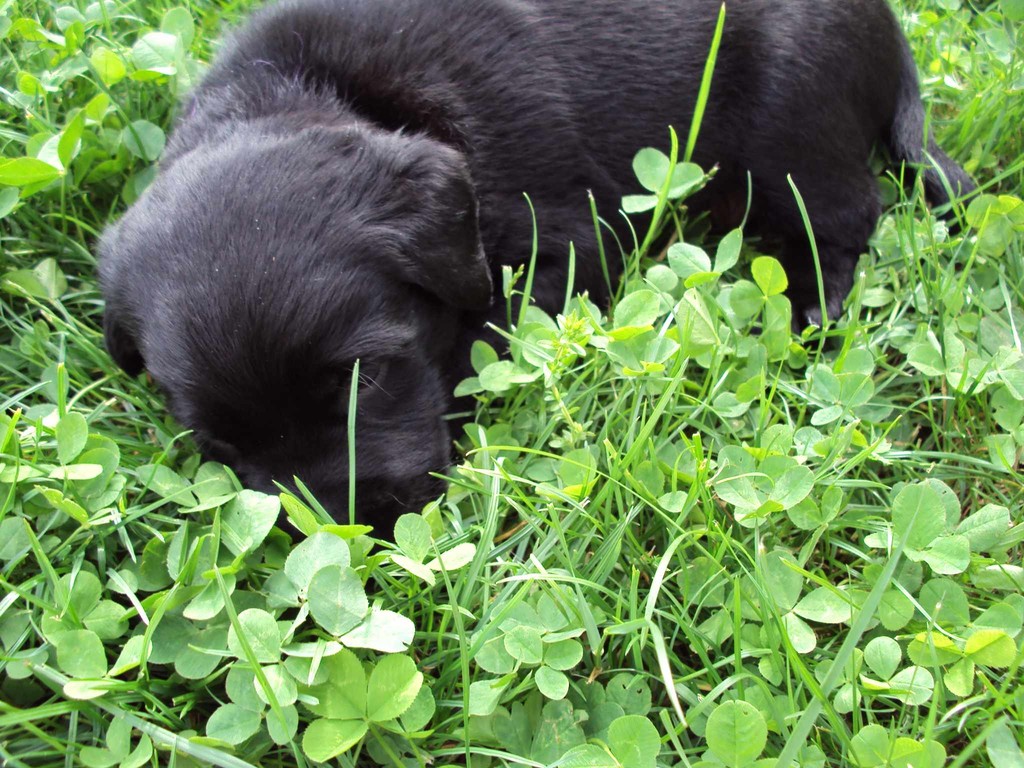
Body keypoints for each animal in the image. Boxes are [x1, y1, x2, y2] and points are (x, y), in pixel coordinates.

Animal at [97, 0, 974, 532]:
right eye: (213, 443)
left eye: (366, 377)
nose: (352, 529)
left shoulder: (572, 243)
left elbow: (484, 338)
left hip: (788, 131)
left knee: (849, 217)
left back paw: (809, 309)